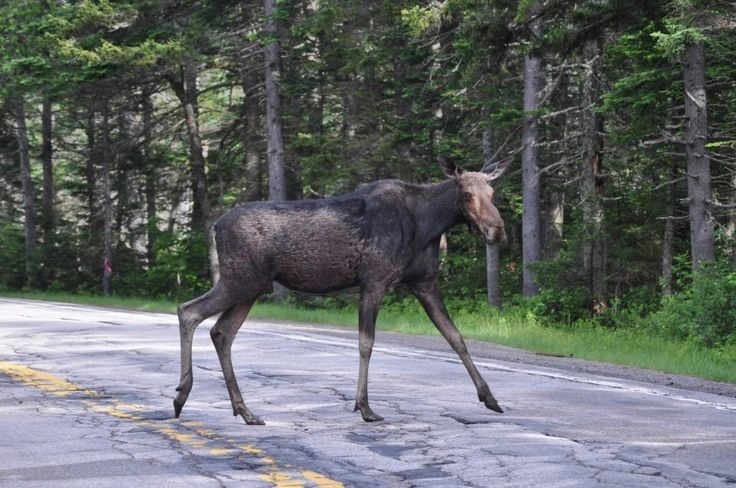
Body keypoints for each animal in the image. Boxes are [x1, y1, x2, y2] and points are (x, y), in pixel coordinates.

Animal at [174, 156, 509, 425]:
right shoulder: (374, 280)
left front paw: (490, 398)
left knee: (221, 332)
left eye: (492, 193)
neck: (429, 227)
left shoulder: (424, 283)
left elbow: (456, 338)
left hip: (251, 287)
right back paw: (181, 397)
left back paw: (244, 411)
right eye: (467, 194)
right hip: (239, 281)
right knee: (188, 311)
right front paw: (364, 407)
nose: (498, 231)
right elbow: (366, 343)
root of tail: (216, 227)